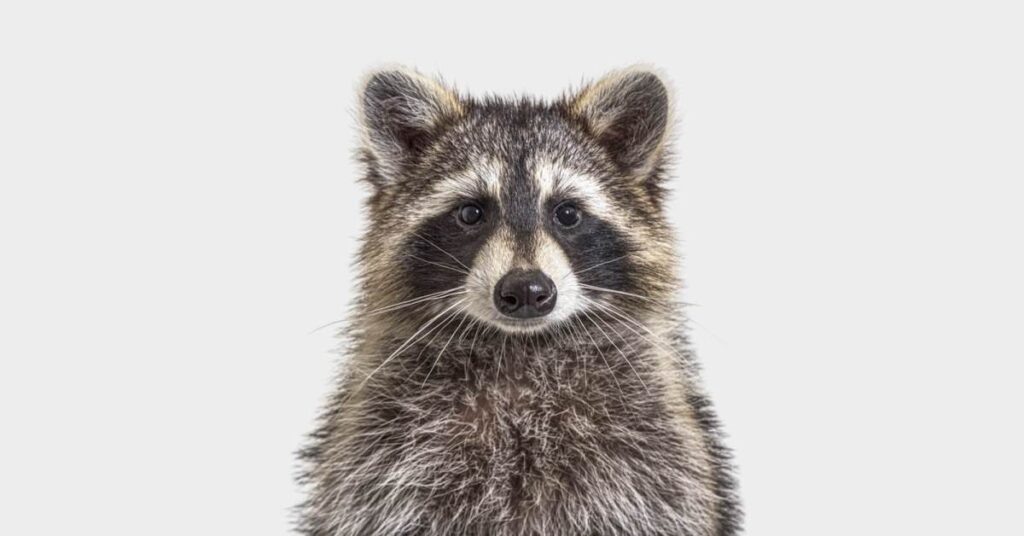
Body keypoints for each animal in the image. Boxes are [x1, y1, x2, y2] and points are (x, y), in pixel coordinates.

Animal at [299, 67, 741, 536]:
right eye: (471, 213)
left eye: (567, 213)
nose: (527, 290)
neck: (520, 348)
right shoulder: (380, 457)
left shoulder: (652, 459)